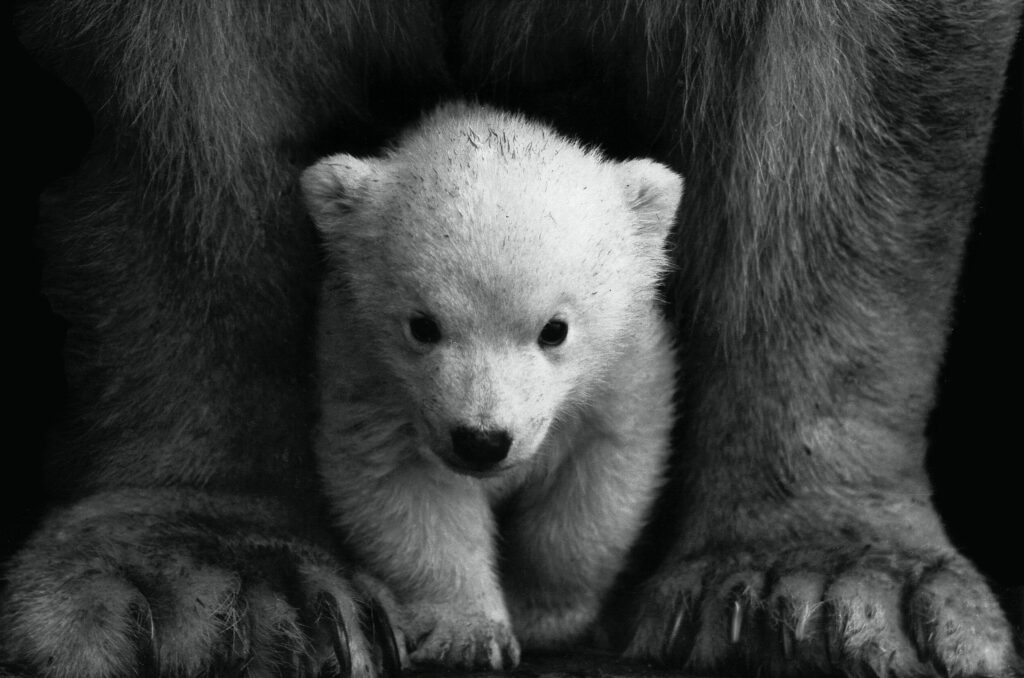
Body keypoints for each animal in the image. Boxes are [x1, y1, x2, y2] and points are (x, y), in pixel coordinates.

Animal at [300, 101, 680, 670]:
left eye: (555, 329)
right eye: (423, 326)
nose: (481, 441)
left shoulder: (624, 375)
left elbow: (597, 485)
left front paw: (545, 616)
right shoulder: (367, 376)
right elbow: (408, 491)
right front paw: (471, 635)